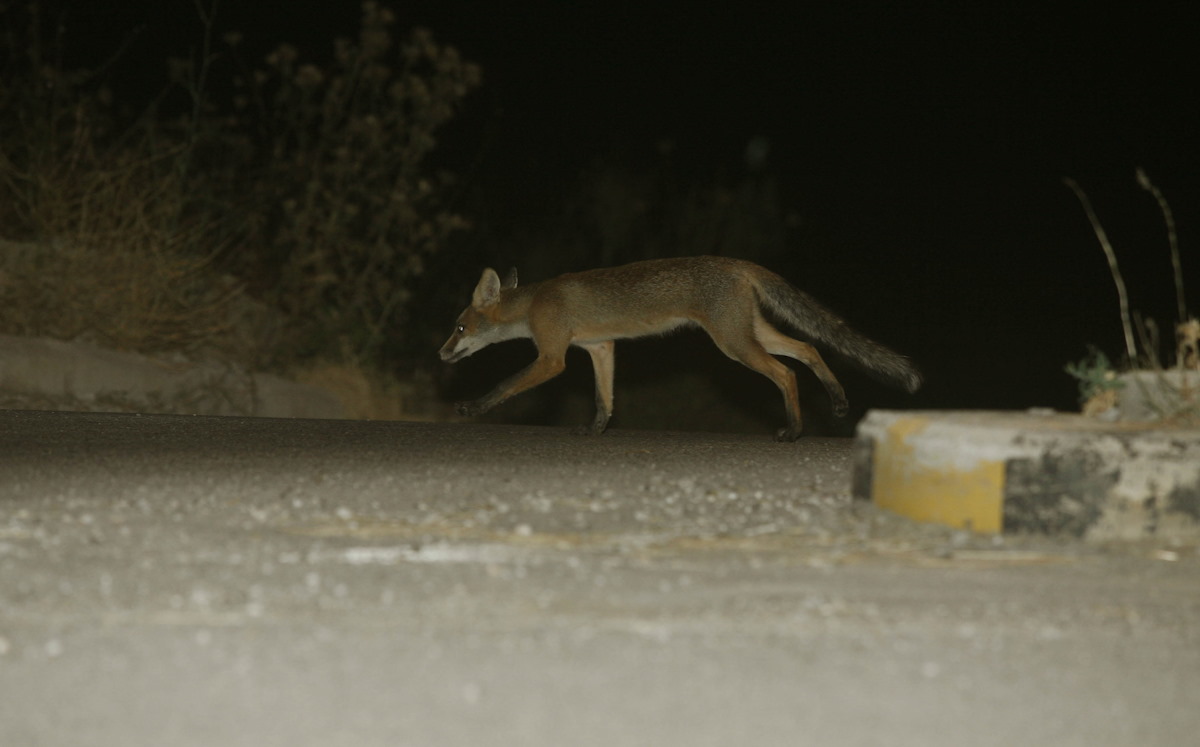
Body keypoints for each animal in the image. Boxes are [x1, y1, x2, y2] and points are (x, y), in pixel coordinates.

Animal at [439, 257, 916, 444]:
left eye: (459, 327)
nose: (441, 354)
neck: (535, 303)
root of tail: (738, 262)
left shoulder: (552, 358)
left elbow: (505, 385)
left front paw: (472, 408)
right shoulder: (599, 347)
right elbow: (604, 399)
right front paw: (595, 430)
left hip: (733, 345)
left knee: (786, 373)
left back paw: (794, 431)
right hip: (751, 333)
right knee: (810, 348)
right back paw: (837, 401)